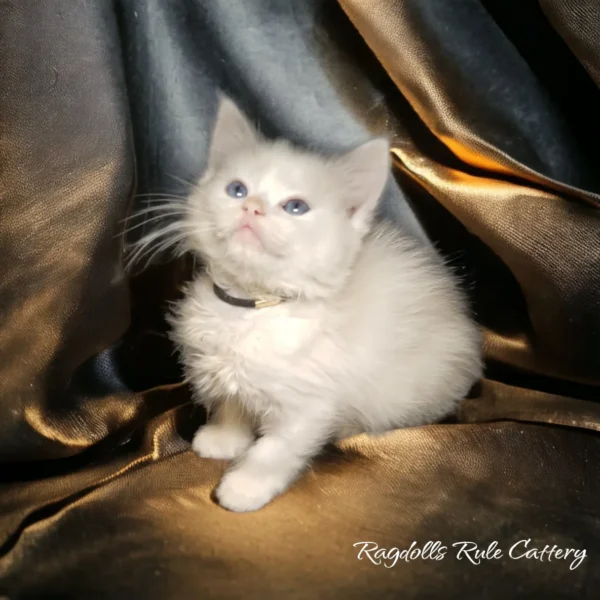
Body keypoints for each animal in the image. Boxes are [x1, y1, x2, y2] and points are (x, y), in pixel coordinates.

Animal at [148, 97, 480, 510]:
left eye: (295, 207)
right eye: (237, 189)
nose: (252, 207)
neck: (254, 306)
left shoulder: (310, 401)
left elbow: (274, 450)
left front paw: (244, 488)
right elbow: (231, 402)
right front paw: (223, 437)